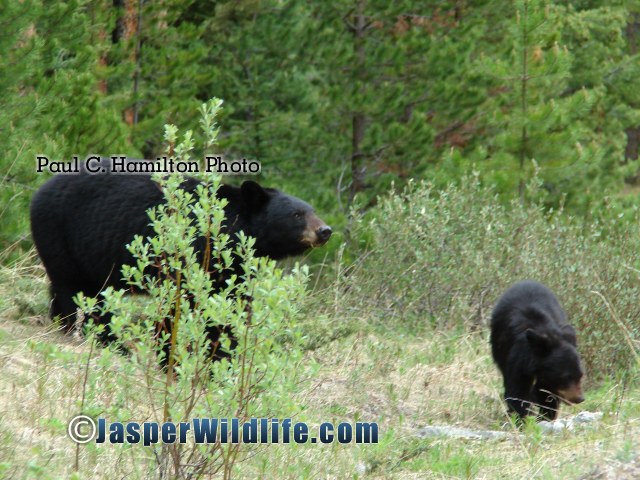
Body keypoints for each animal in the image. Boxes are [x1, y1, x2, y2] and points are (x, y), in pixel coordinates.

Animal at [30, 160, 332, 356]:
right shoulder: (192, 255)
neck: (226, 227)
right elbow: (183, 301)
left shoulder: (234, 268)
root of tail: (40, 189)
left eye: (312, 210)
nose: (325, 230)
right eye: (296, 215)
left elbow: (233, 301)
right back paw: (105, 338)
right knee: (76, 290)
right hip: (61, 234)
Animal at [490, 280, 584, 421]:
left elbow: (547, 396)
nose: (579, 398)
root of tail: (526, 281)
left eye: (580, 375)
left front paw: (546, 417)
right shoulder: (517, 359)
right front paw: (521, 419)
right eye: (566, 377)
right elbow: (518, 391)